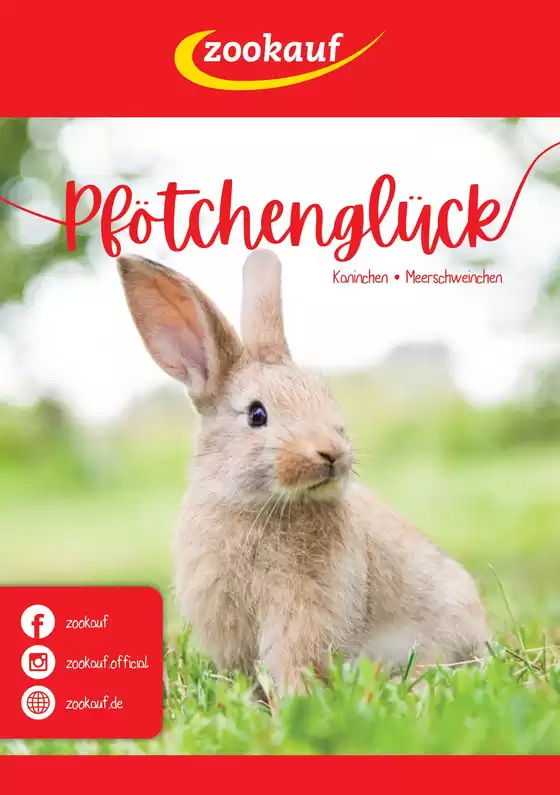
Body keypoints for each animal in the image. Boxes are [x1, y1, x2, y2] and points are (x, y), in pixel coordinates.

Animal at [117, 249, 488, 696]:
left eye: (326, 397)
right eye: (257, 414)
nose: (332, 453)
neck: (257, 505)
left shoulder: (303, 611)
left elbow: (293, 659)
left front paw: (296, 700)